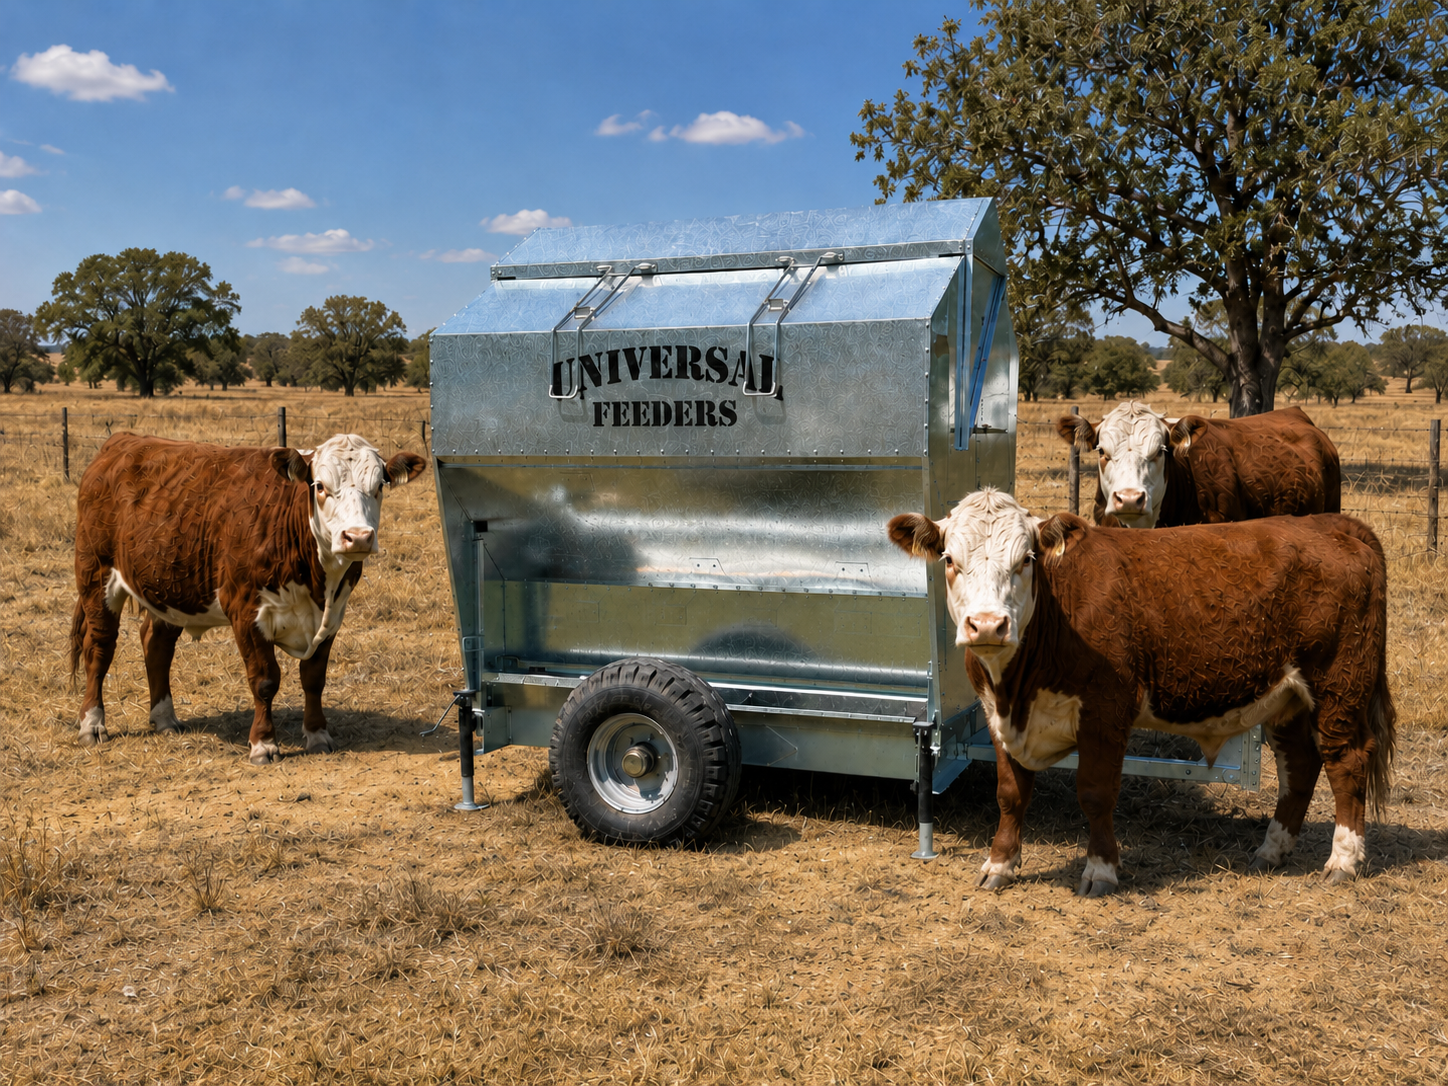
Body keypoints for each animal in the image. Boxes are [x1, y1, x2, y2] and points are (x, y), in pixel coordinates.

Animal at [70, 433, 427, 764]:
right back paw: (92, 724)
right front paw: (264, 744)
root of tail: (122, 441)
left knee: (156, 644)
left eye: (379, 486)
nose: (358, 537)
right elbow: (265, 680)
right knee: (99, 647)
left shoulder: (333, 614)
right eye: (320, 486)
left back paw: (165, 718)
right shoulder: (246, 612)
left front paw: (317, 734)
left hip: (170, 584)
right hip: (95, 575)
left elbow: (314, 679)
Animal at [888, 489, 1394, 896]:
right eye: (949, 560)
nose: (989, 625)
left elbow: (1095, 793)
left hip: (1338, 684)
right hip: (1287, 698)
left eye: (1026, 560)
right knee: (1299, 767)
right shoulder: (999, 715)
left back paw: (1343, 860)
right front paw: (999, 865)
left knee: (1346, 759)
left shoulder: (1107, 710)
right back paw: (1272, 850)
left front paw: (1100, 871)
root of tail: (1332, 525)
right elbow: (1010, 793)